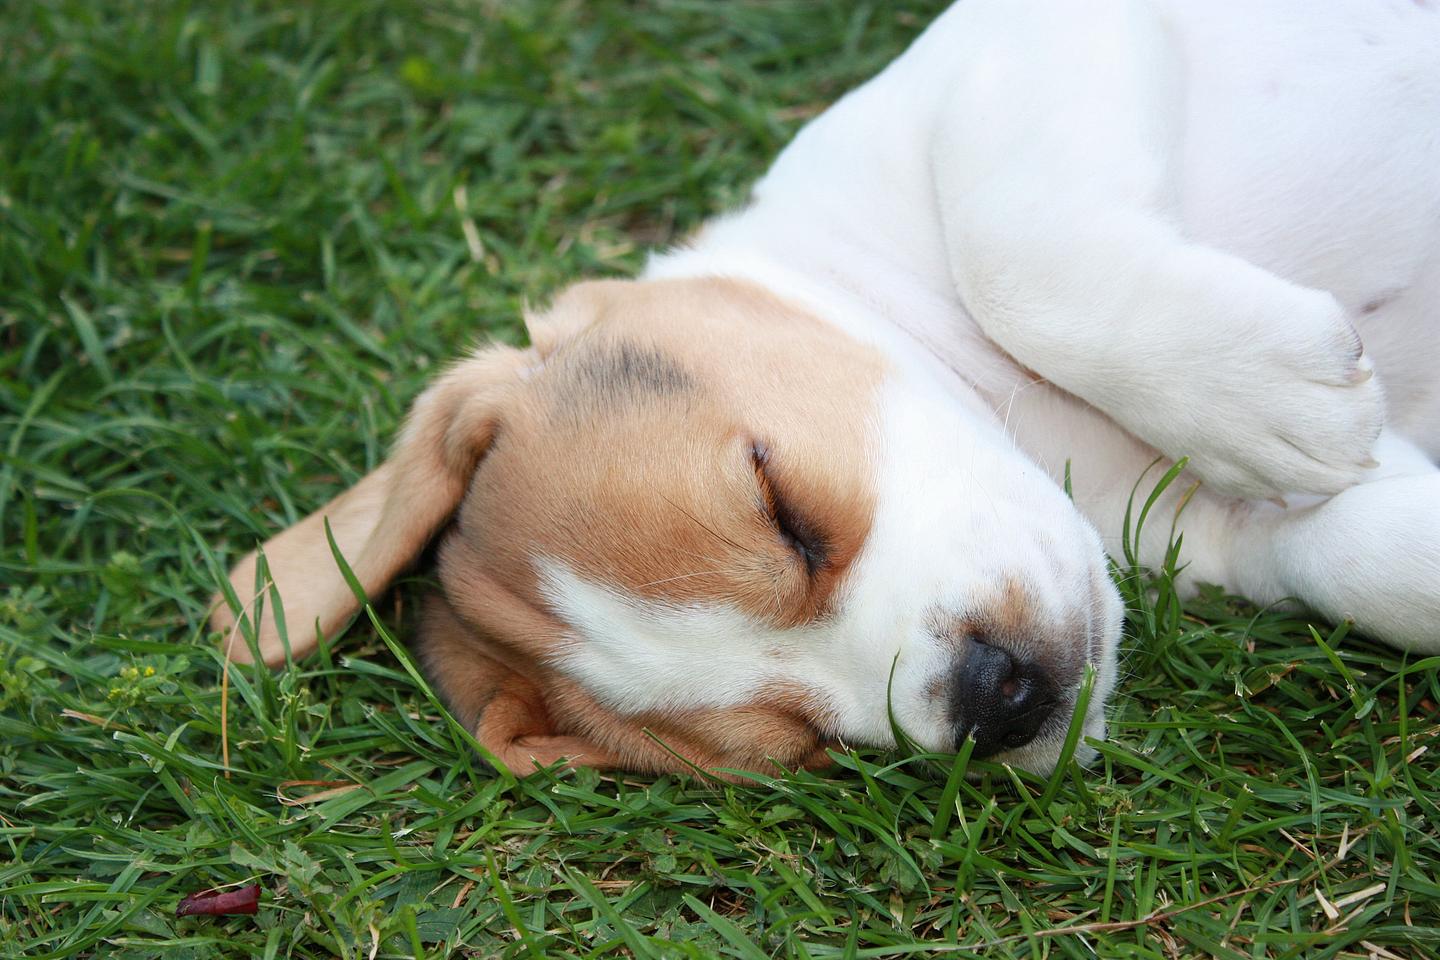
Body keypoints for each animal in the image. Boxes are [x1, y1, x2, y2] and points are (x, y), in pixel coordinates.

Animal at [210, 0, 1440, 777]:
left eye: (782, 507)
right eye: (803, 746)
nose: (994, 700)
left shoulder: (1028, 37)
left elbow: (1012, 254)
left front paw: (1281, 396)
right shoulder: (1196, 528)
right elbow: (1341, 553)